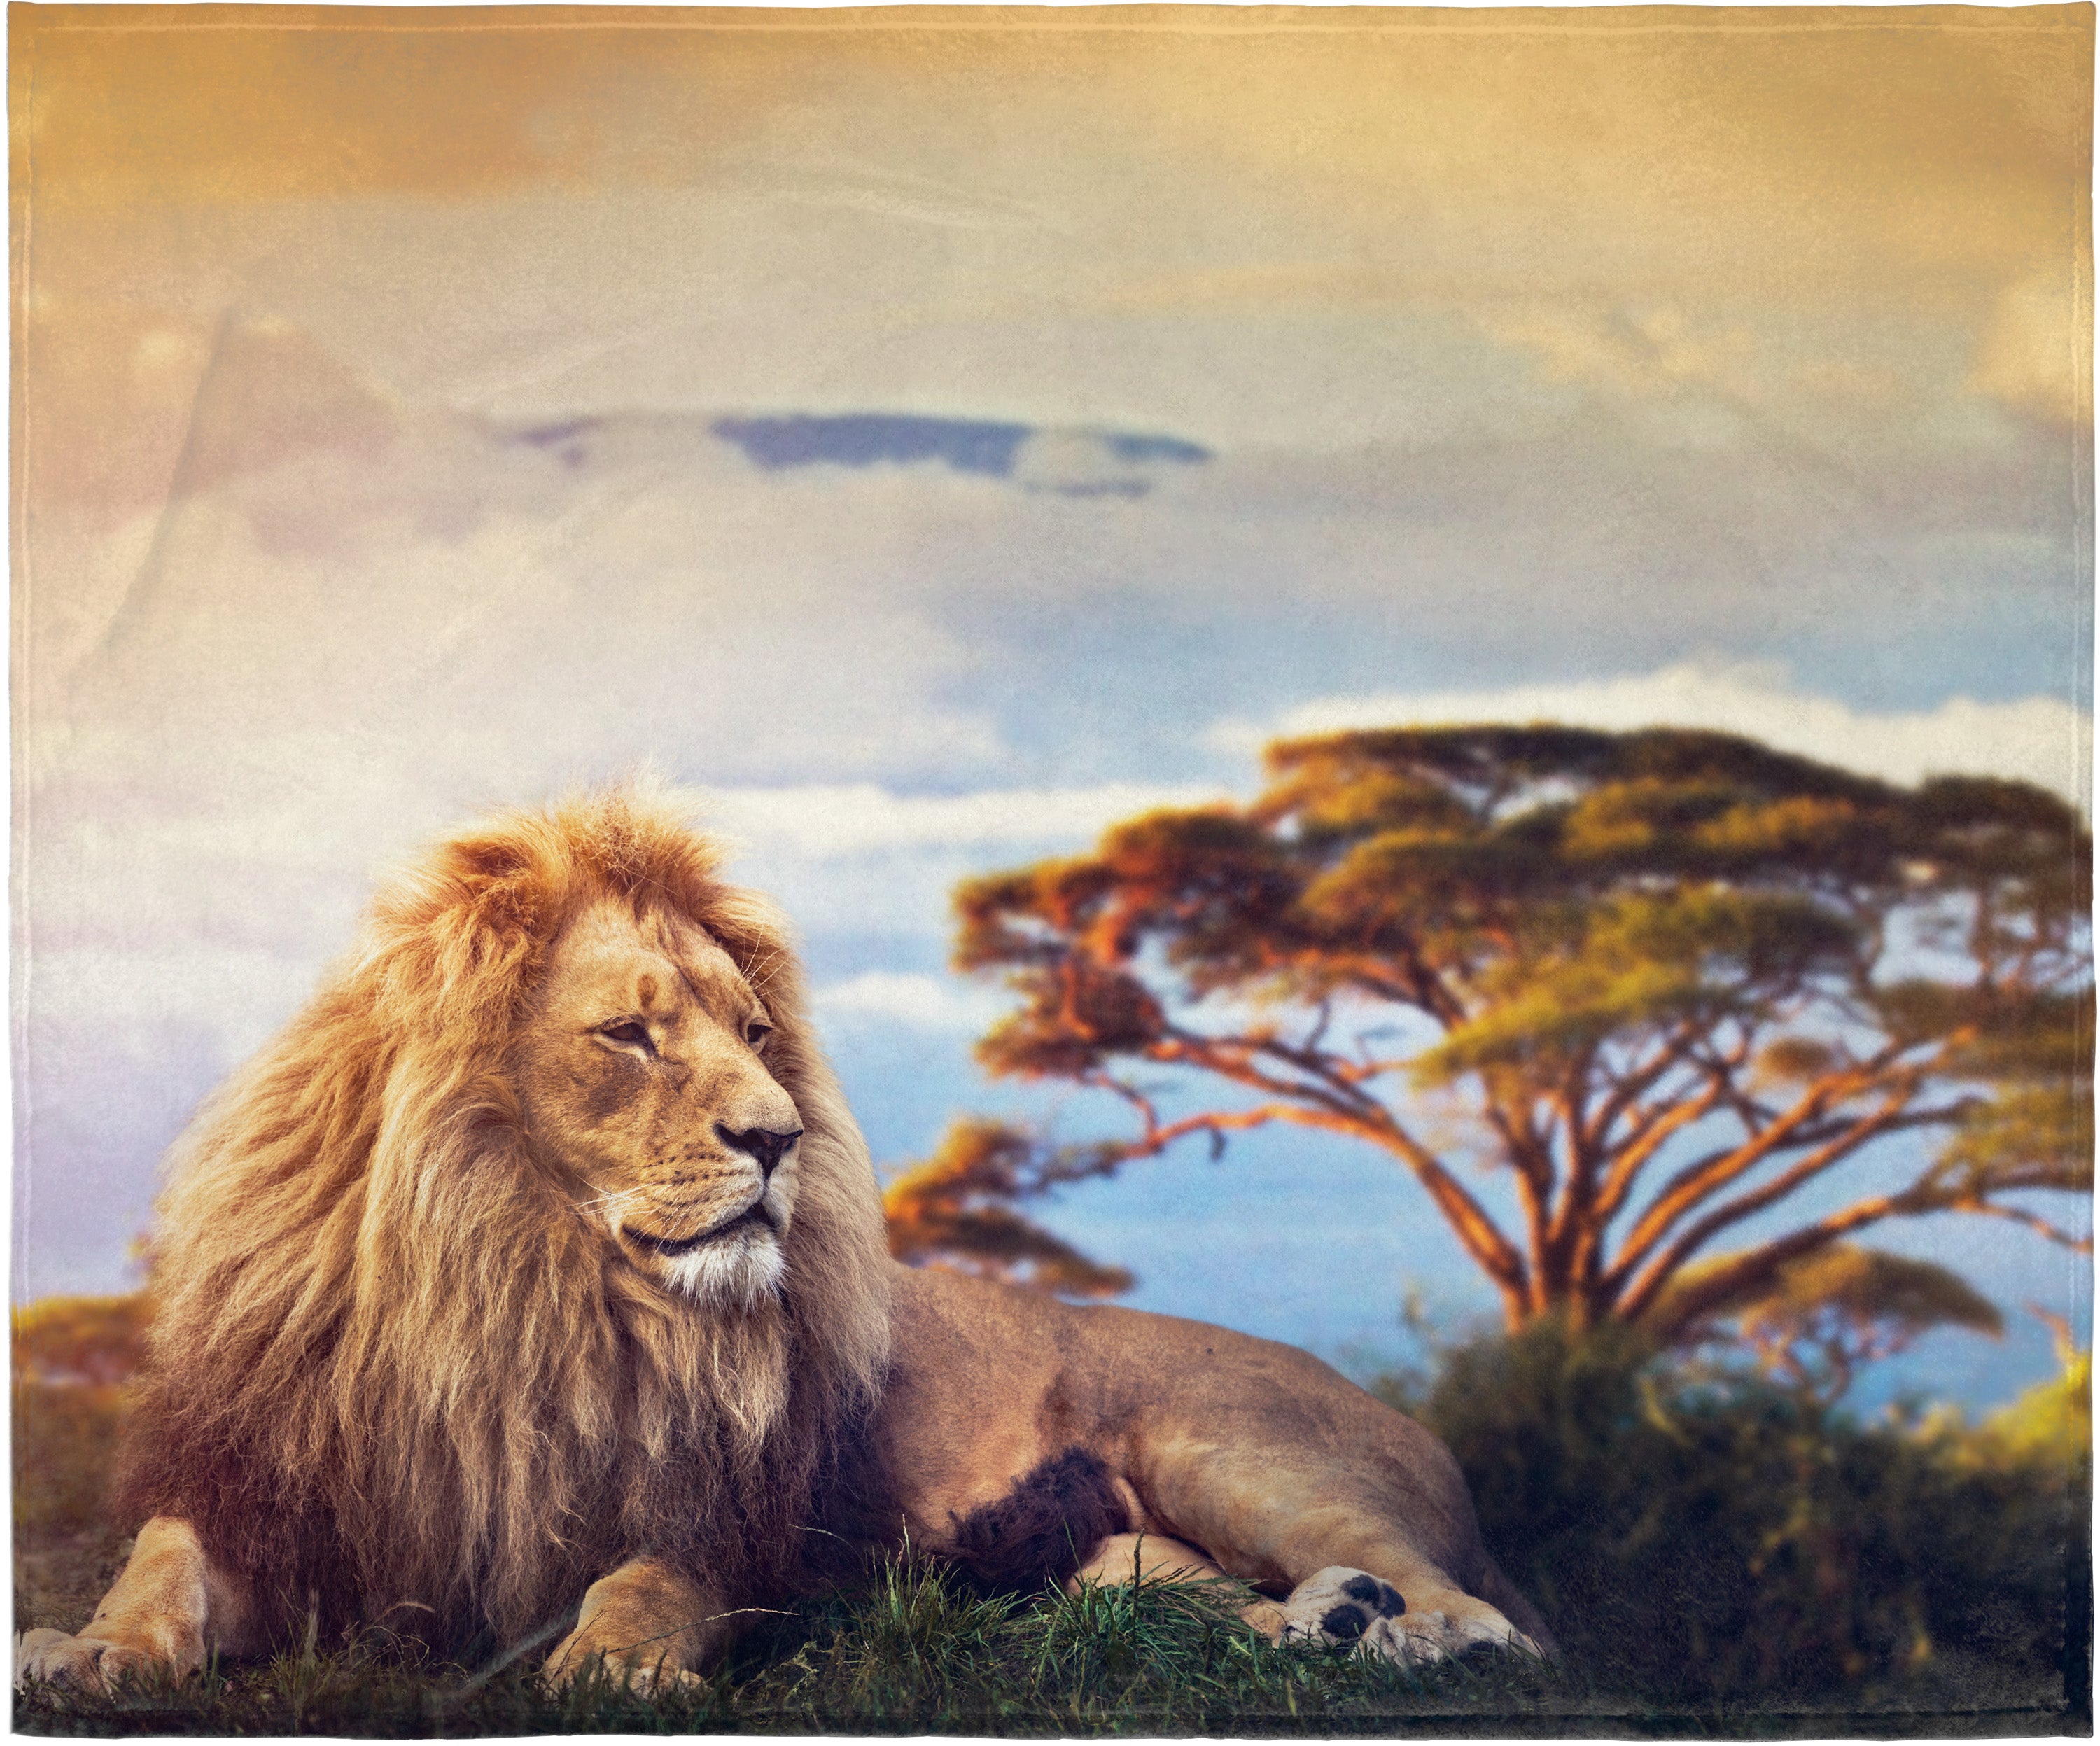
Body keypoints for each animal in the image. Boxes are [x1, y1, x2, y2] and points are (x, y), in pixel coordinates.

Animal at [16, 781, 1552, 1697]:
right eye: (631, 1033)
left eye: (758, 1033)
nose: (781, 1134)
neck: (515, 1282)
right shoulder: (271, 1484)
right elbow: (161, 1567)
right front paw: (83, 1652)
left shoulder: (728, 1515)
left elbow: (648, 1579)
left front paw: (611, 1666)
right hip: (1117, 1553)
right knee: (1175, 1594)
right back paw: (1317, 1621)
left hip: (1230, 1443)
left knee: (1490, 1615)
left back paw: (1405, 1629)